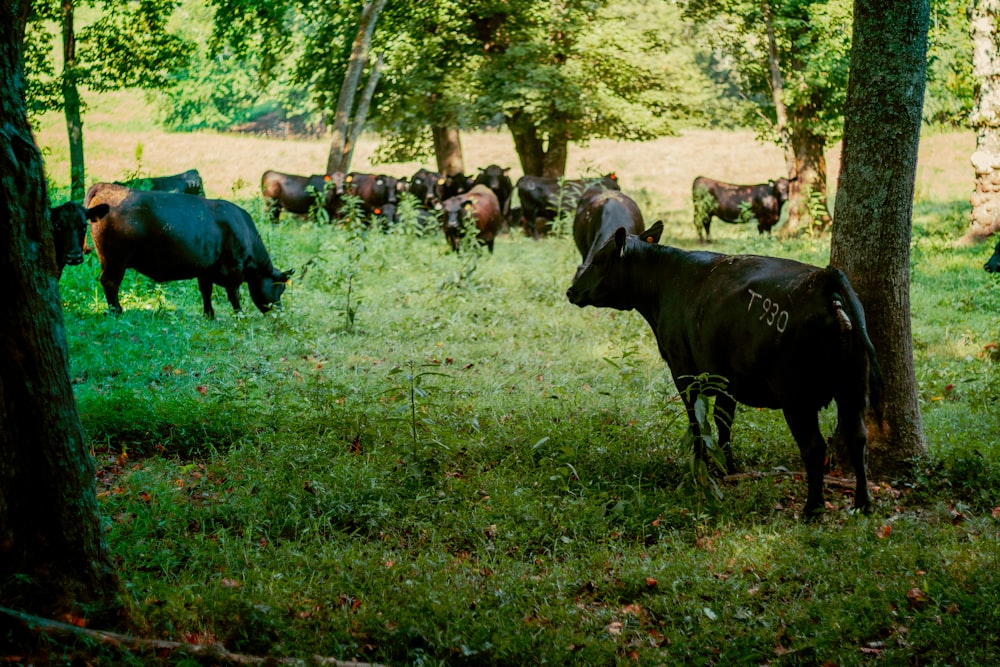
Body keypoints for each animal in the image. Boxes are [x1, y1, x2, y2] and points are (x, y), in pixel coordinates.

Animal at [85, 183, 292, 318]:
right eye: (279, 288)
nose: (280, 312)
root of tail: (106, 186)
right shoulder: (234, 269)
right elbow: (234, 296)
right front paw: (240, 316)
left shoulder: (206, 270)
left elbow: (206, 292)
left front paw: (209, 315)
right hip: (115, 260)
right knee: (110, 283)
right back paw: (117, 312)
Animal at [572, 222, 884, 520]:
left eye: (599, 259)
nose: (570, 291)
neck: (666, 282)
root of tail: (824, 279)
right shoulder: (727, 380)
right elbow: (724, 422)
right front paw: (728, 467)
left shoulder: (683, 372)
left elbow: (697, 423)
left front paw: (701, 467)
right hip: (853, 387)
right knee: (858, 437)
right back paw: (863, 503)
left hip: (796, 396)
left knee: (814, 447)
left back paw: (813, 508)